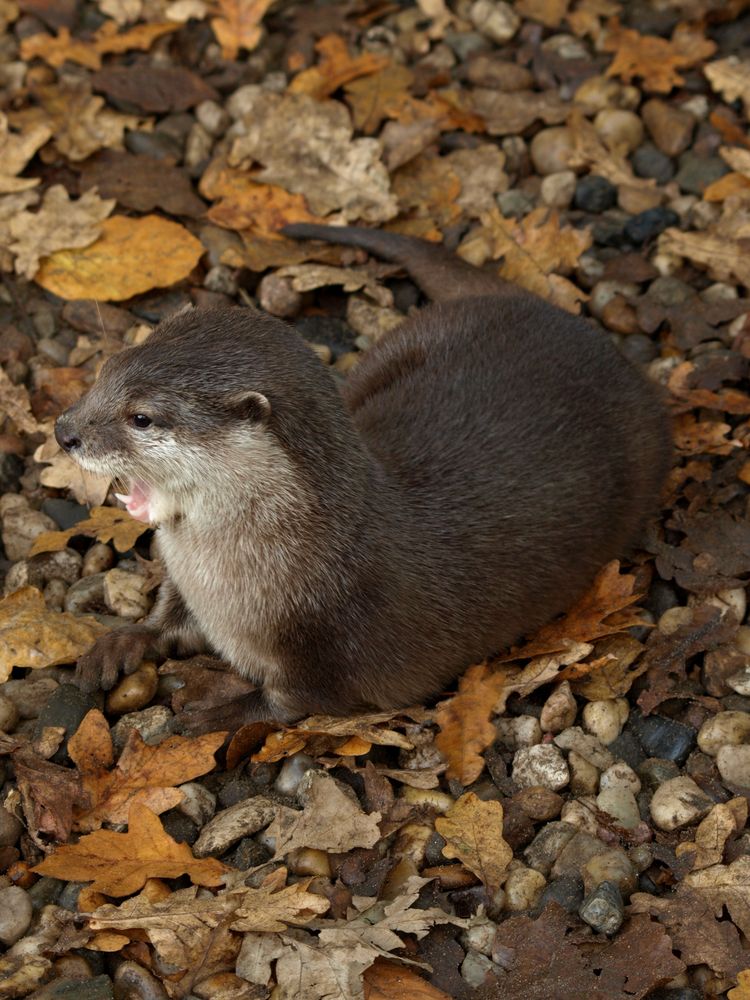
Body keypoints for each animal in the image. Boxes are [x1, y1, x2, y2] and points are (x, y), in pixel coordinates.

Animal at [55, 227, 672, 736]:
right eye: (105, 372)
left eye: (141, 417)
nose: (65, 431)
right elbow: (169, 616)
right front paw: (126, 640)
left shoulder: (328, 647)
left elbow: (294, 702)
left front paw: (214, 711)